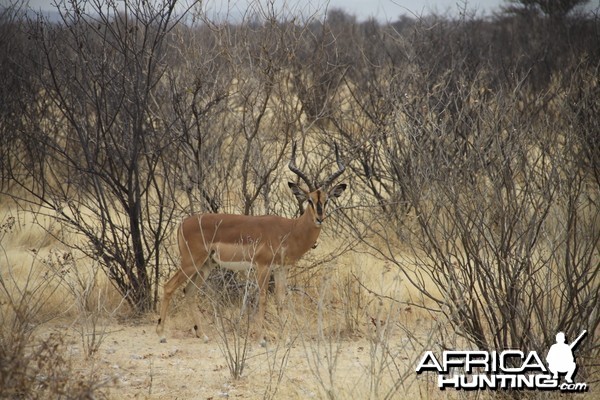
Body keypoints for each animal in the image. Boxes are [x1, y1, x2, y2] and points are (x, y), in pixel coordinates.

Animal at [157, 142, 346, 342]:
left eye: (326, 200)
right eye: (309, 199)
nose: (319, 218)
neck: (290, 230)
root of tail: (183, 223)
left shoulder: (280, 270)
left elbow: (281, 300)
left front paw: (286, 338)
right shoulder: (262, 267)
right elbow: (262, 298)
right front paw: (262, 338)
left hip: (206, 265)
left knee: (190, 291)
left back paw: (203, 335)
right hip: (190, 262)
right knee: (169, 287)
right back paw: (161, 334)